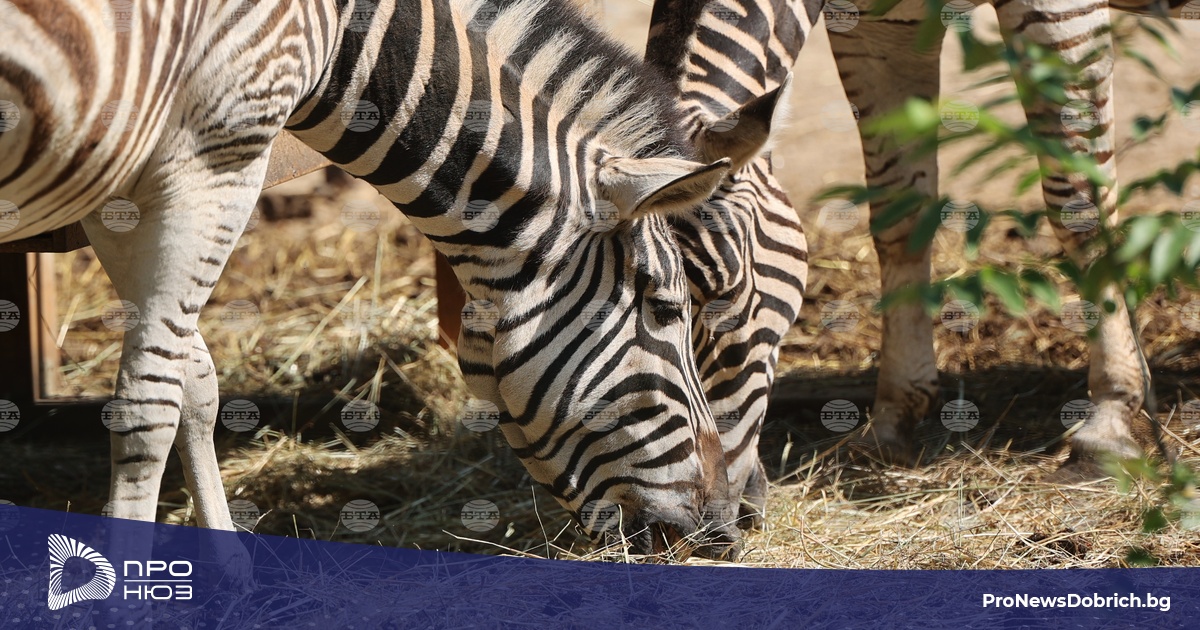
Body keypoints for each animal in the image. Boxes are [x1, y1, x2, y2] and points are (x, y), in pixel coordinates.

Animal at [0, 0, 788, 557]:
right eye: (667, 306)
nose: (724, 531)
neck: (344, 31)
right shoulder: (211, 155)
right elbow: (149, 403)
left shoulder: (128, 181)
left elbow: (191, 377)